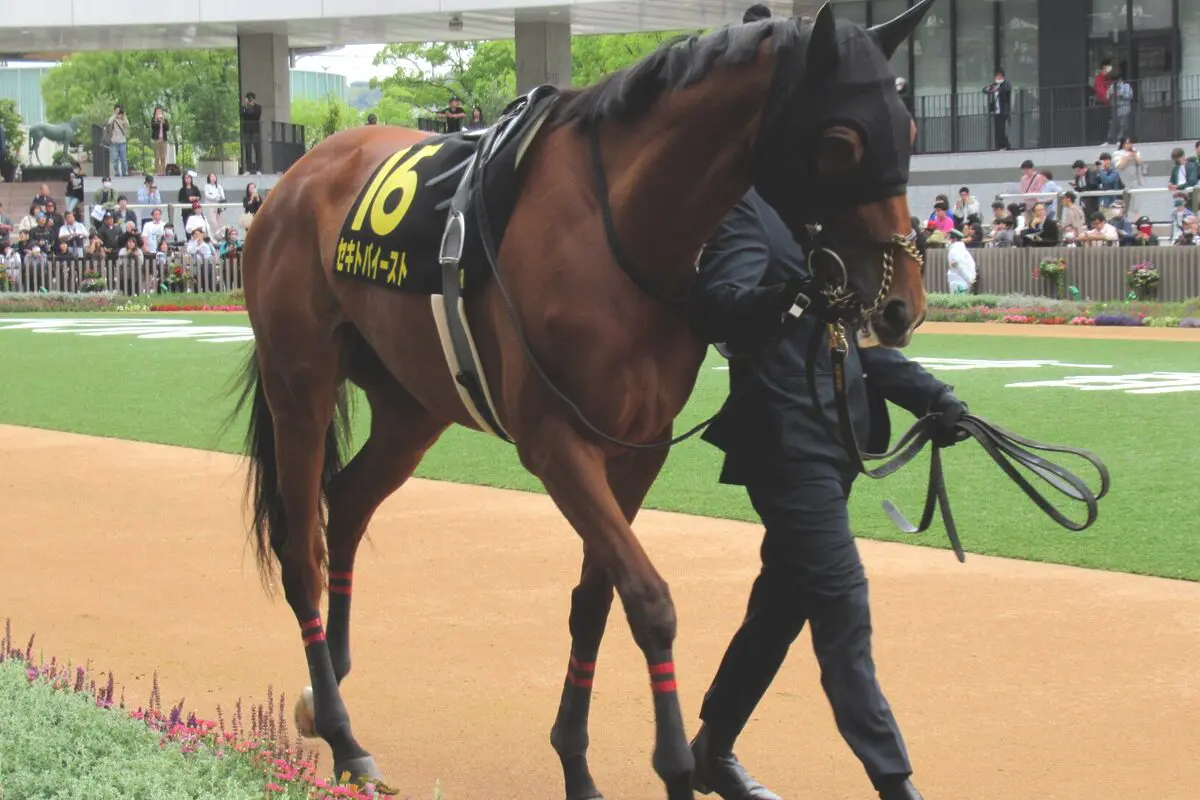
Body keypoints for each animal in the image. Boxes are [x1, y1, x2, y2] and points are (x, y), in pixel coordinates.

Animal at [229, 2, 935, 797]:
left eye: (910, 130)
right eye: (844, 139)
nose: (902, 306)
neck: (618, 230)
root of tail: (293, 179)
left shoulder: (639, 447)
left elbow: (598, 598)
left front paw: (576, 761)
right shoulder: (557, 444)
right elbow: (650, 600)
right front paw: (675, 767)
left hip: (413, 405)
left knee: (346, 505)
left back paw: (331, 690)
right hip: (300, 384)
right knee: (301, 552)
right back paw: (345, 737)